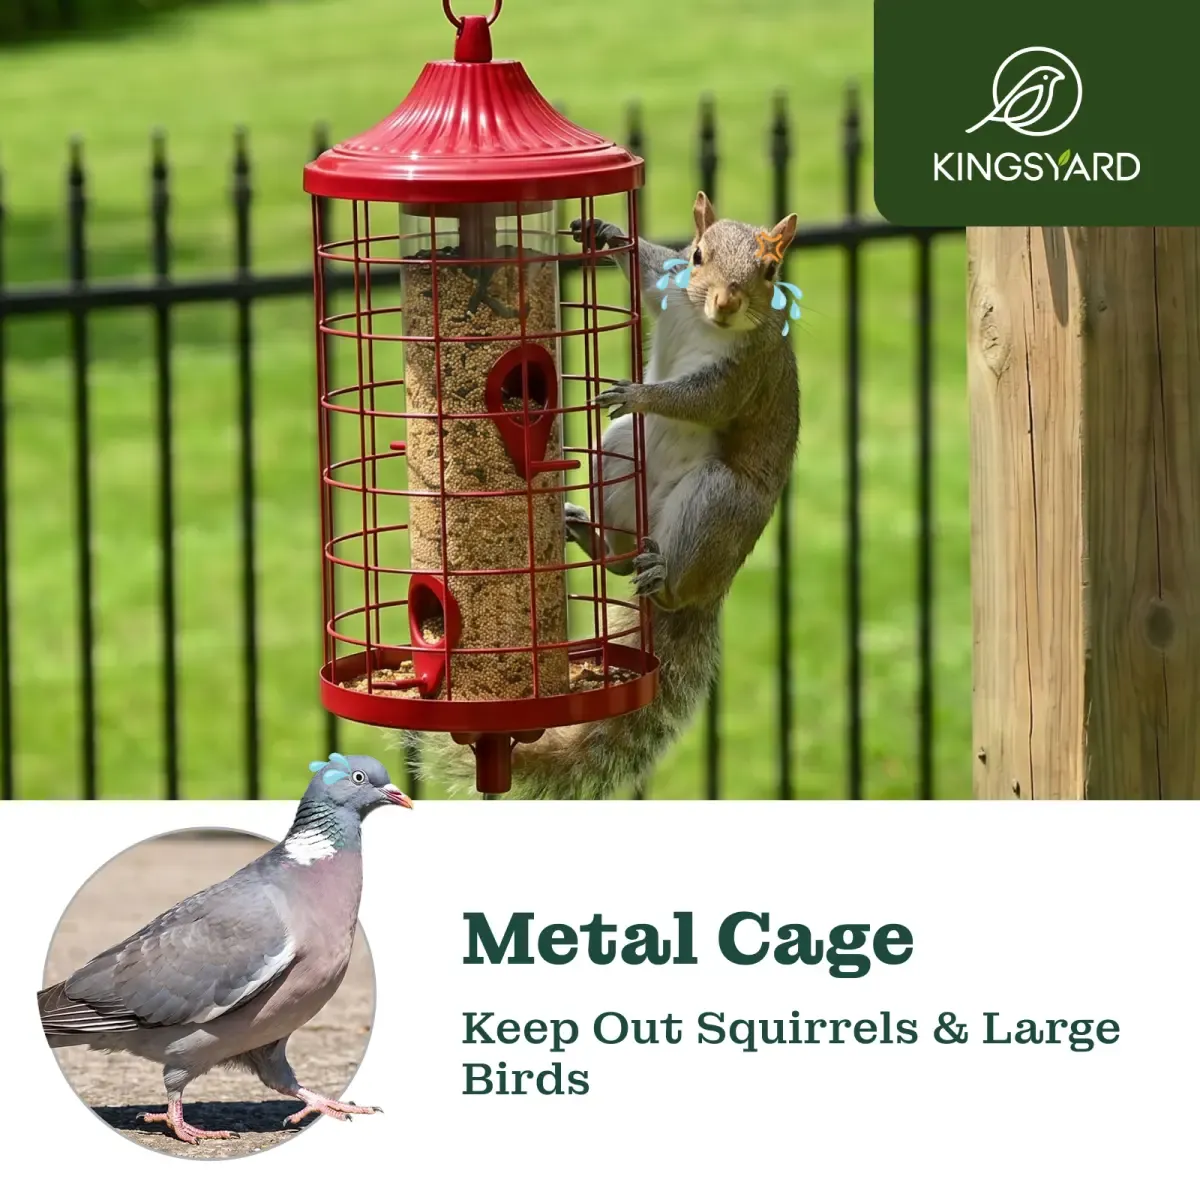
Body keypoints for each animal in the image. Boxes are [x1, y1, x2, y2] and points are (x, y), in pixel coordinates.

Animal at [406, 192, 801, 798]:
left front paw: (641, 393)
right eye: (696, 255)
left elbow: (702, 400)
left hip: (717, 500)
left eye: (771, 271)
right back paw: (592, 538)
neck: (701, 322)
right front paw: (605, 231)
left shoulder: (744, 373)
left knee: (672, 583)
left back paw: (661, 575)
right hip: (617, 457)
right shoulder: (668, 290)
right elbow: (645, 274)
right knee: (617, 561)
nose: (725, 306)